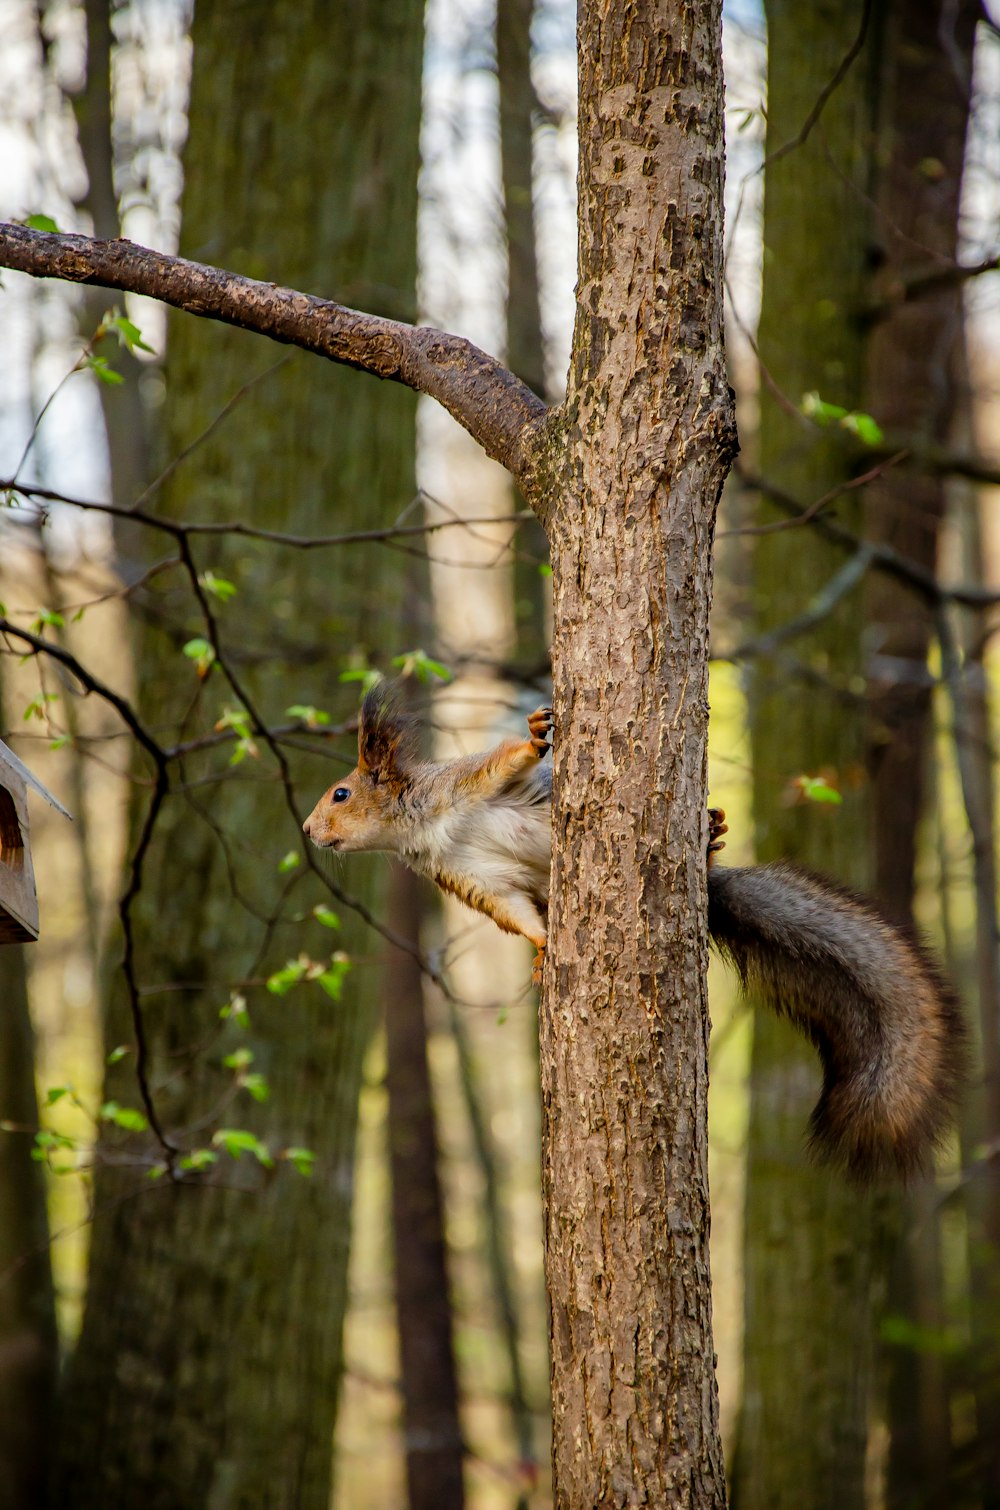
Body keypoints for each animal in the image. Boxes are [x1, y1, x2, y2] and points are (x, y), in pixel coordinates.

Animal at [303, 685, 966, 1177]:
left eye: (340, 792)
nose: (308, 831)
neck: (419, 823)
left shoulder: (465, 784)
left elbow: (506, 761)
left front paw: (536, 731)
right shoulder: (475, 879)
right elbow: (519, 915)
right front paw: (542, 950)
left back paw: (711, 831)